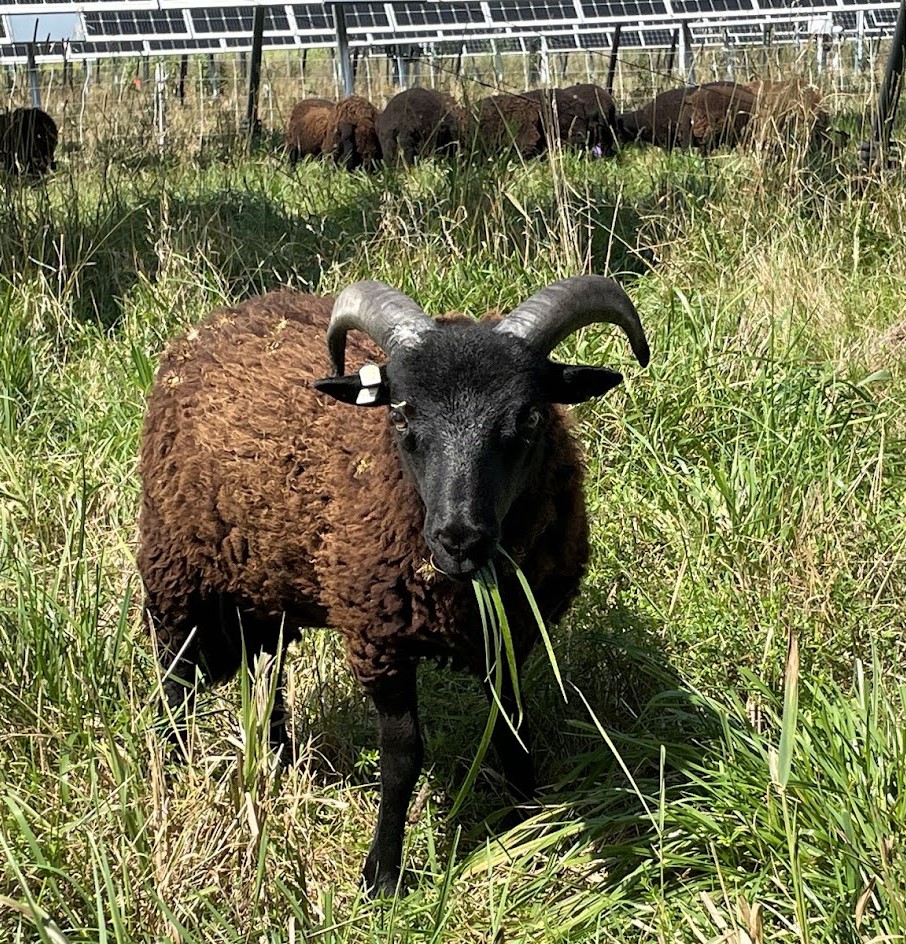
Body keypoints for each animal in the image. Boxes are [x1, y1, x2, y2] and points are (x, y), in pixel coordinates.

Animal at [138, 276, 648, 896]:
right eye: (402, 415)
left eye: (529, 417)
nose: (460, 539)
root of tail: (228, 314)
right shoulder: (379, 642)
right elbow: (402, 757)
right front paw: (382, 874)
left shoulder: (511, 635)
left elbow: (512, 730)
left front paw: (530, 821)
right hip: (175, 568)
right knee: (175, 677)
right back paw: (170, 769)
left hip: (266, 582)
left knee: (266, 669)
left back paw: (282, 758)